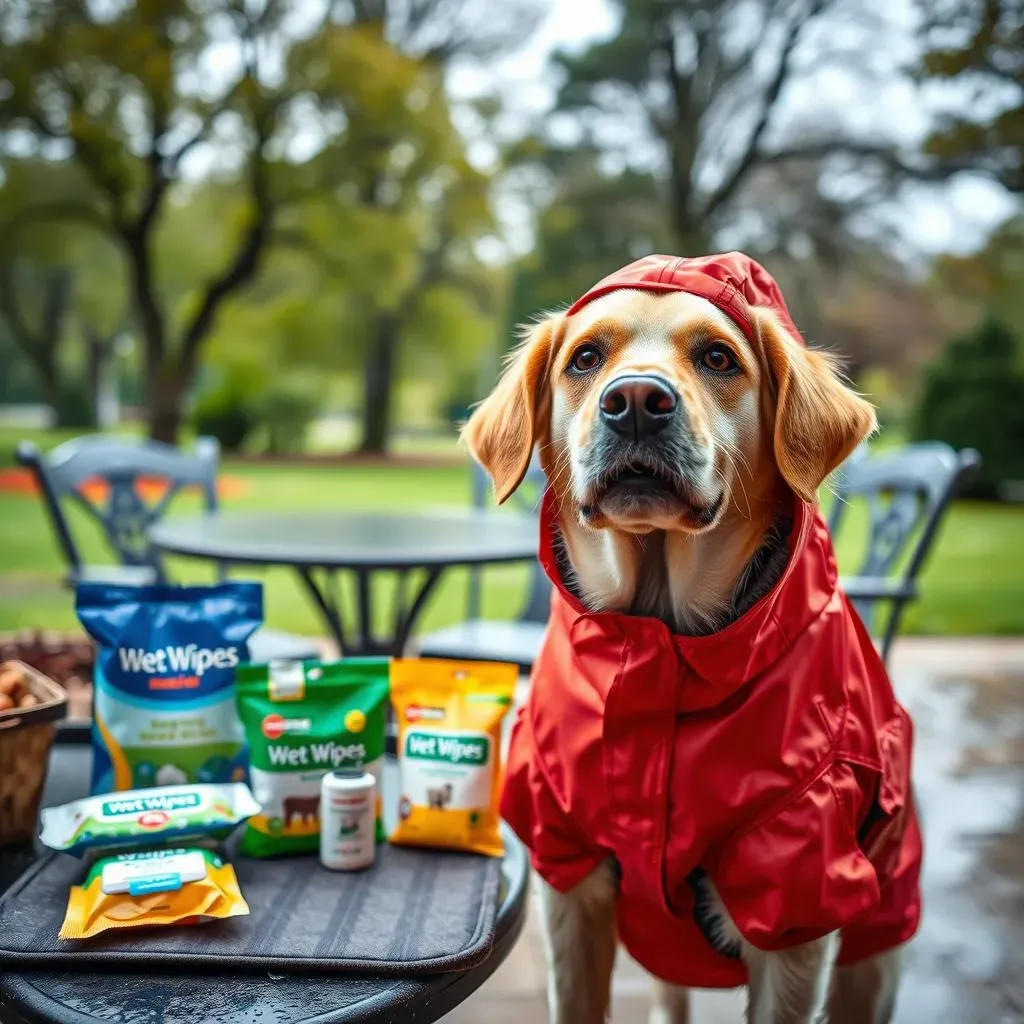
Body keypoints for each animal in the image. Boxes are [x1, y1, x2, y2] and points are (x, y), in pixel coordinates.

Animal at [462, 249, 921, 1024]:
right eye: (585, 358)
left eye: (717, 357)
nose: (635, 402)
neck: (656, 637)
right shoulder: (567, 872)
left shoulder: (797, 898)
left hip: (876, 956)